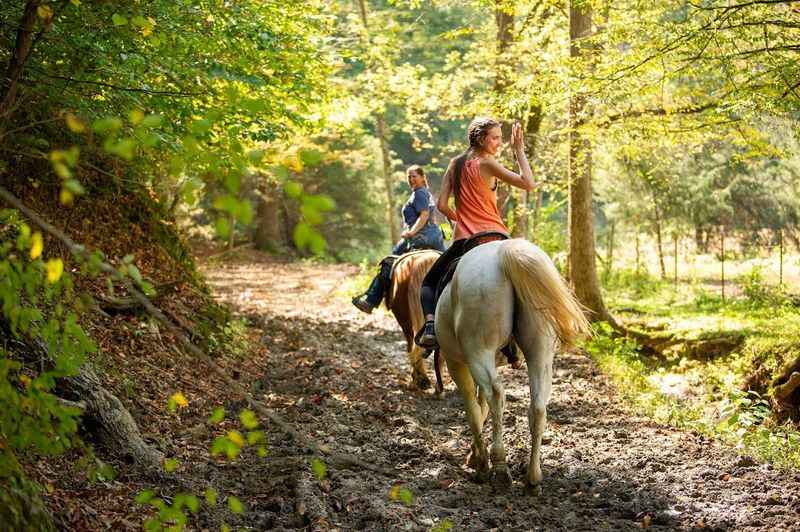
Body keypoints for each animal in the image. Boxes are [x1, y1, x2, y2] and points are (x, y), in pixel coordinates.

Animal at [438, 239, 588, 492]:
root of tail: (504, 252)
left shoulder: (456, 363)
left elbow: (474, 410)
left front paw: (479, 461)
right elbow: (482, 408)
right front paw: (474, 454)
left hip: (479, 351)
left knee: (496, 395)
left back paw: (498, 468)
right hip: (540, 351)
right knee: (537, 406)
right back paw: (533, 477)